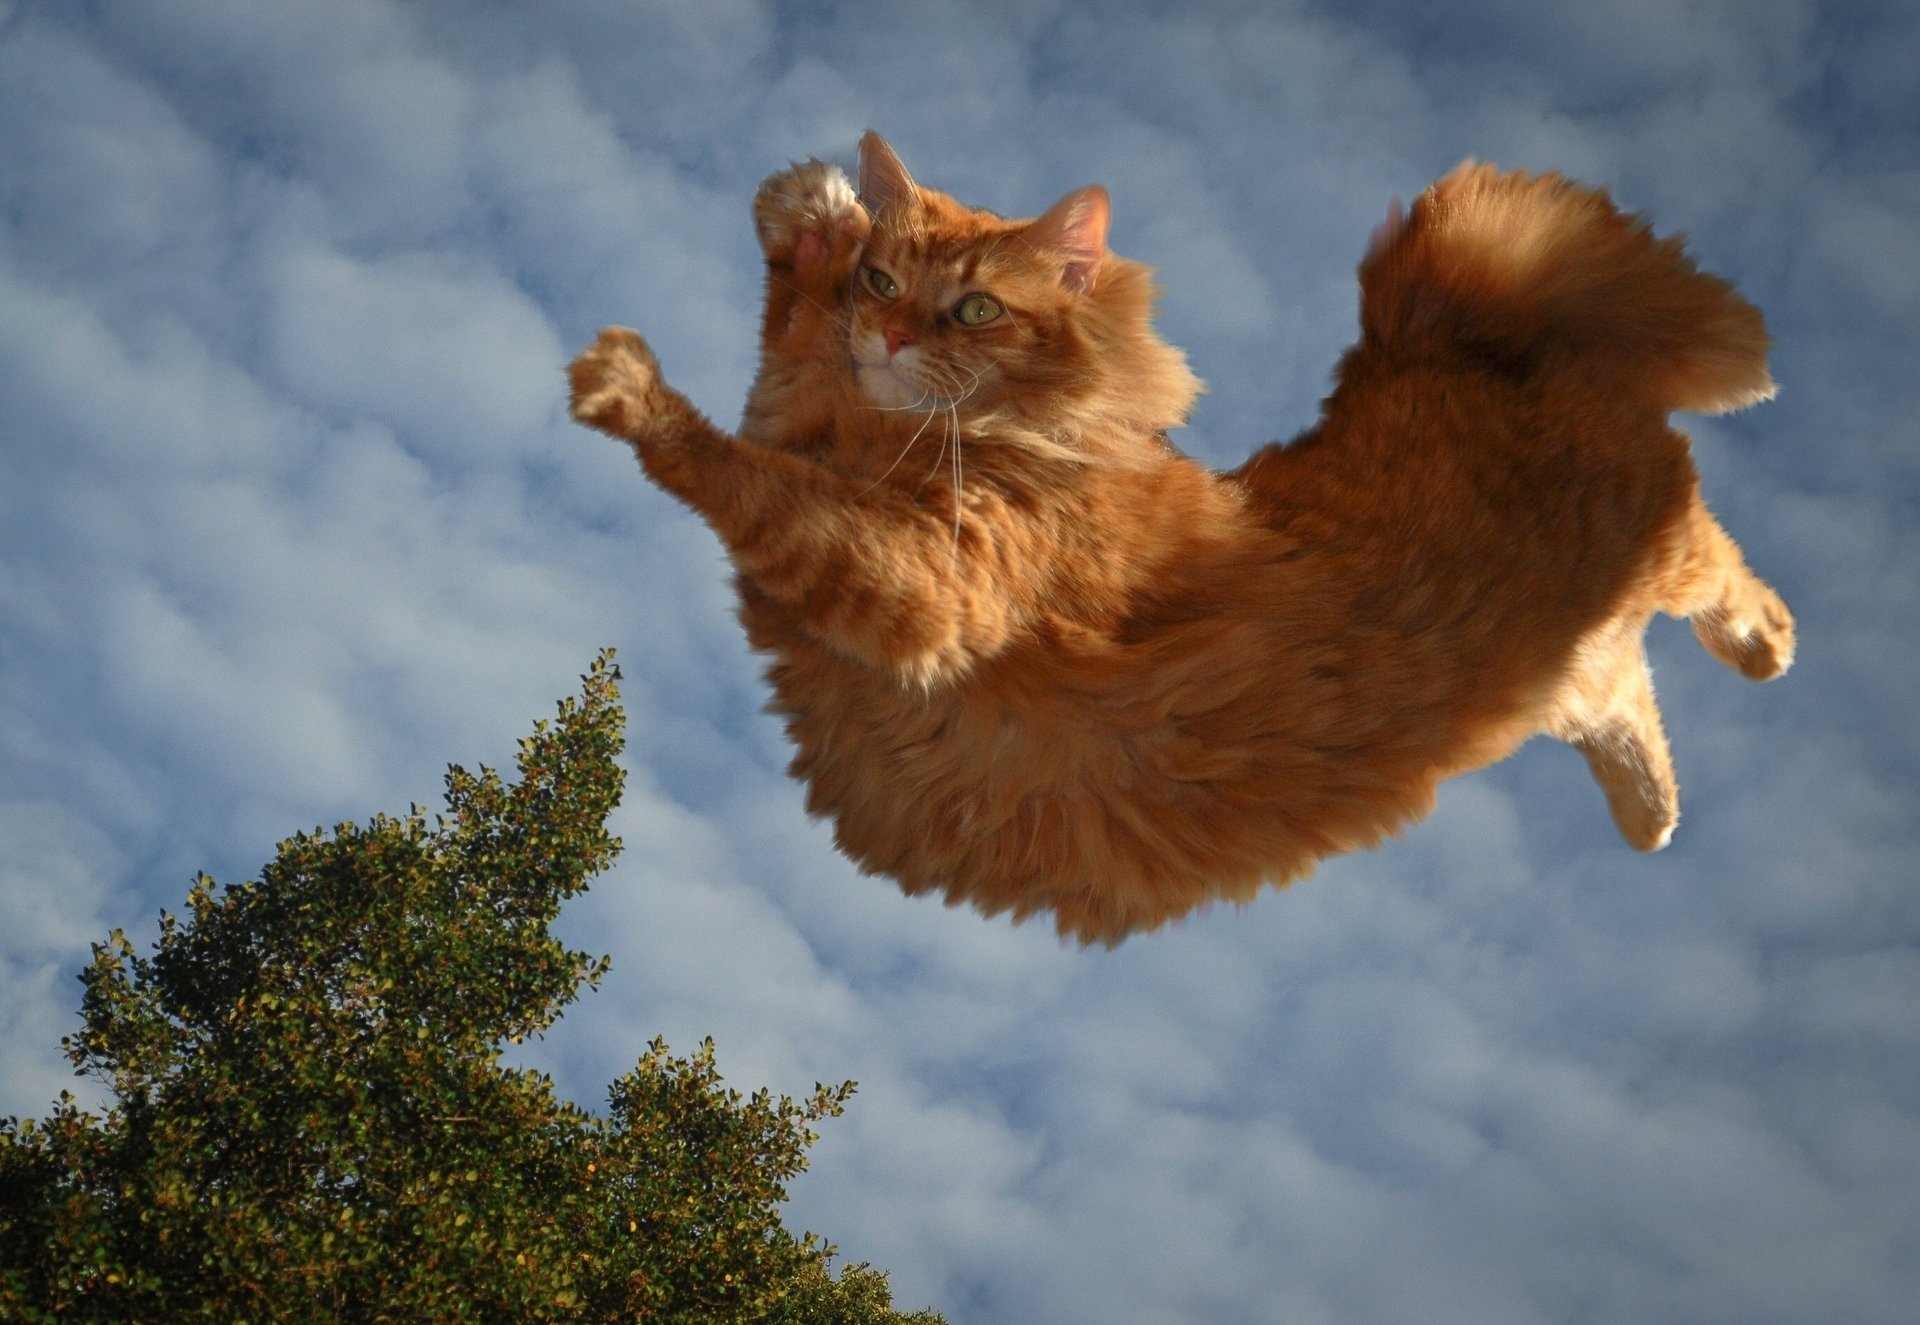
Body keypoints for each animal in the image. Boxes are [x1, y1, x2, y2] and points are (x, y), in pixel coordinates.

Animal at [560, 131, 1789, 940]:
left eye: (975, 309)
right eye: (885, 280)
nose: (894, 334)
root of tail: (1422, 339)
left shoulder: (931, 583)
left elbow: (744, 466)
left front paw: (633, 387)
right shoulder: (827, 464)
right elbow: (787, 361)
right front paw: (809, 217)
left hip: (1655, 543)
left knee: (1719, 571)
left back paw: (1765, 647)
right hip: (1571, 668)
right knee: (1629, 698)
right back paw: (1653, 816)